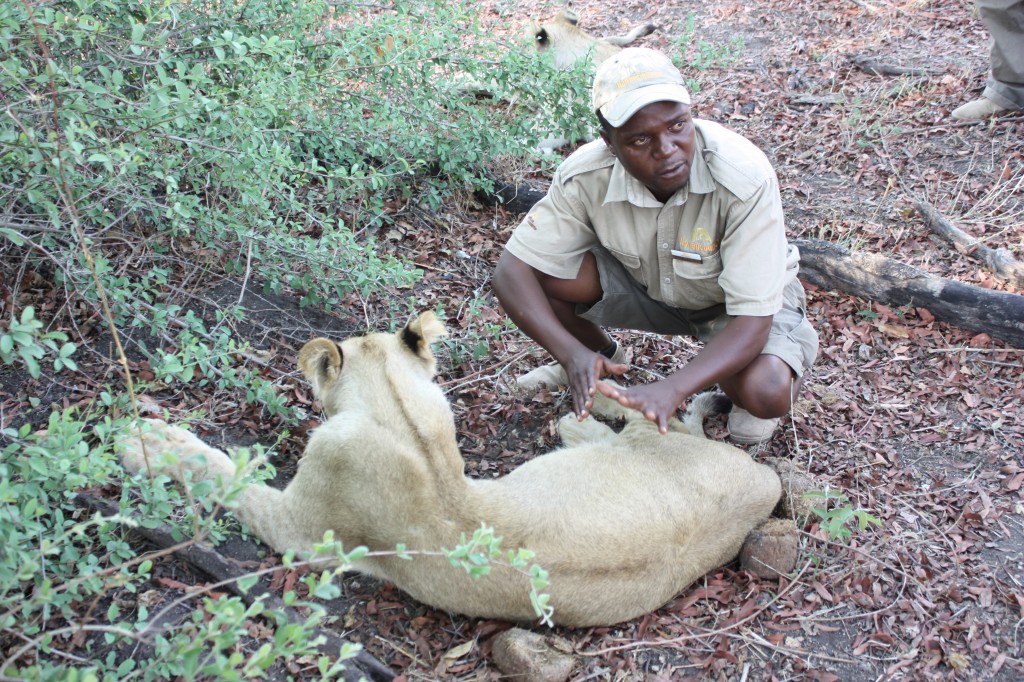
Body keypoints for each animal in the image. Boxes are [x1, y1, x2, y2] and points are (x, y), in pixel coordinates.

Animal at [117, 311, 774, 622]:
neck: (402, 418)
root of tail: (762, 484)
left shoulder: (302, 530)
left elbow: (225, 475)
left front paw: (141, 441)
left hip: (644, 442)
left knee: (633, 414)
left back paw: (577, 402)